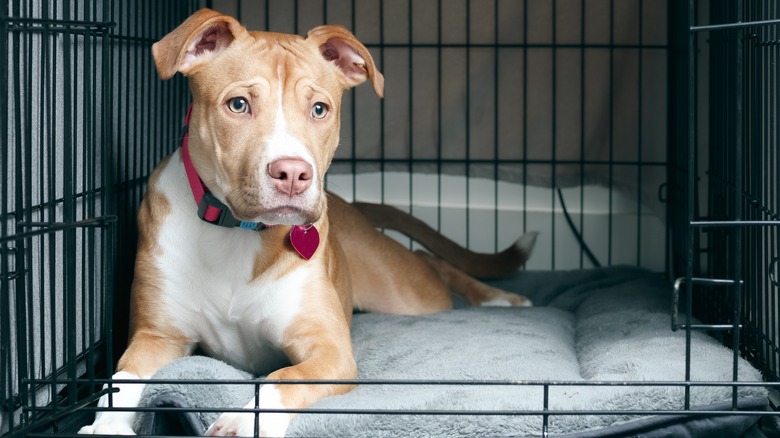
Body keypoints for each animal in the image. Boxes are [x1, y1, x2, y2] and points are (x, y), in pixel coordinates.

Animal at [80, 8, 536, 436]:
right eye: (238, 104)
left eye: (319, 109)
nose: (294, 174)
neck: (238, 234)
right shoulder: (155, 337)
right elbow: (119, 380)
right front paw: (106, 425)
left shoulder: (329, 351)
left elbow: (283, 377)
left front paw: (245, 420)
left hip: (406, 293)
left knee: (431, 261)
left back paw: (500, 299)